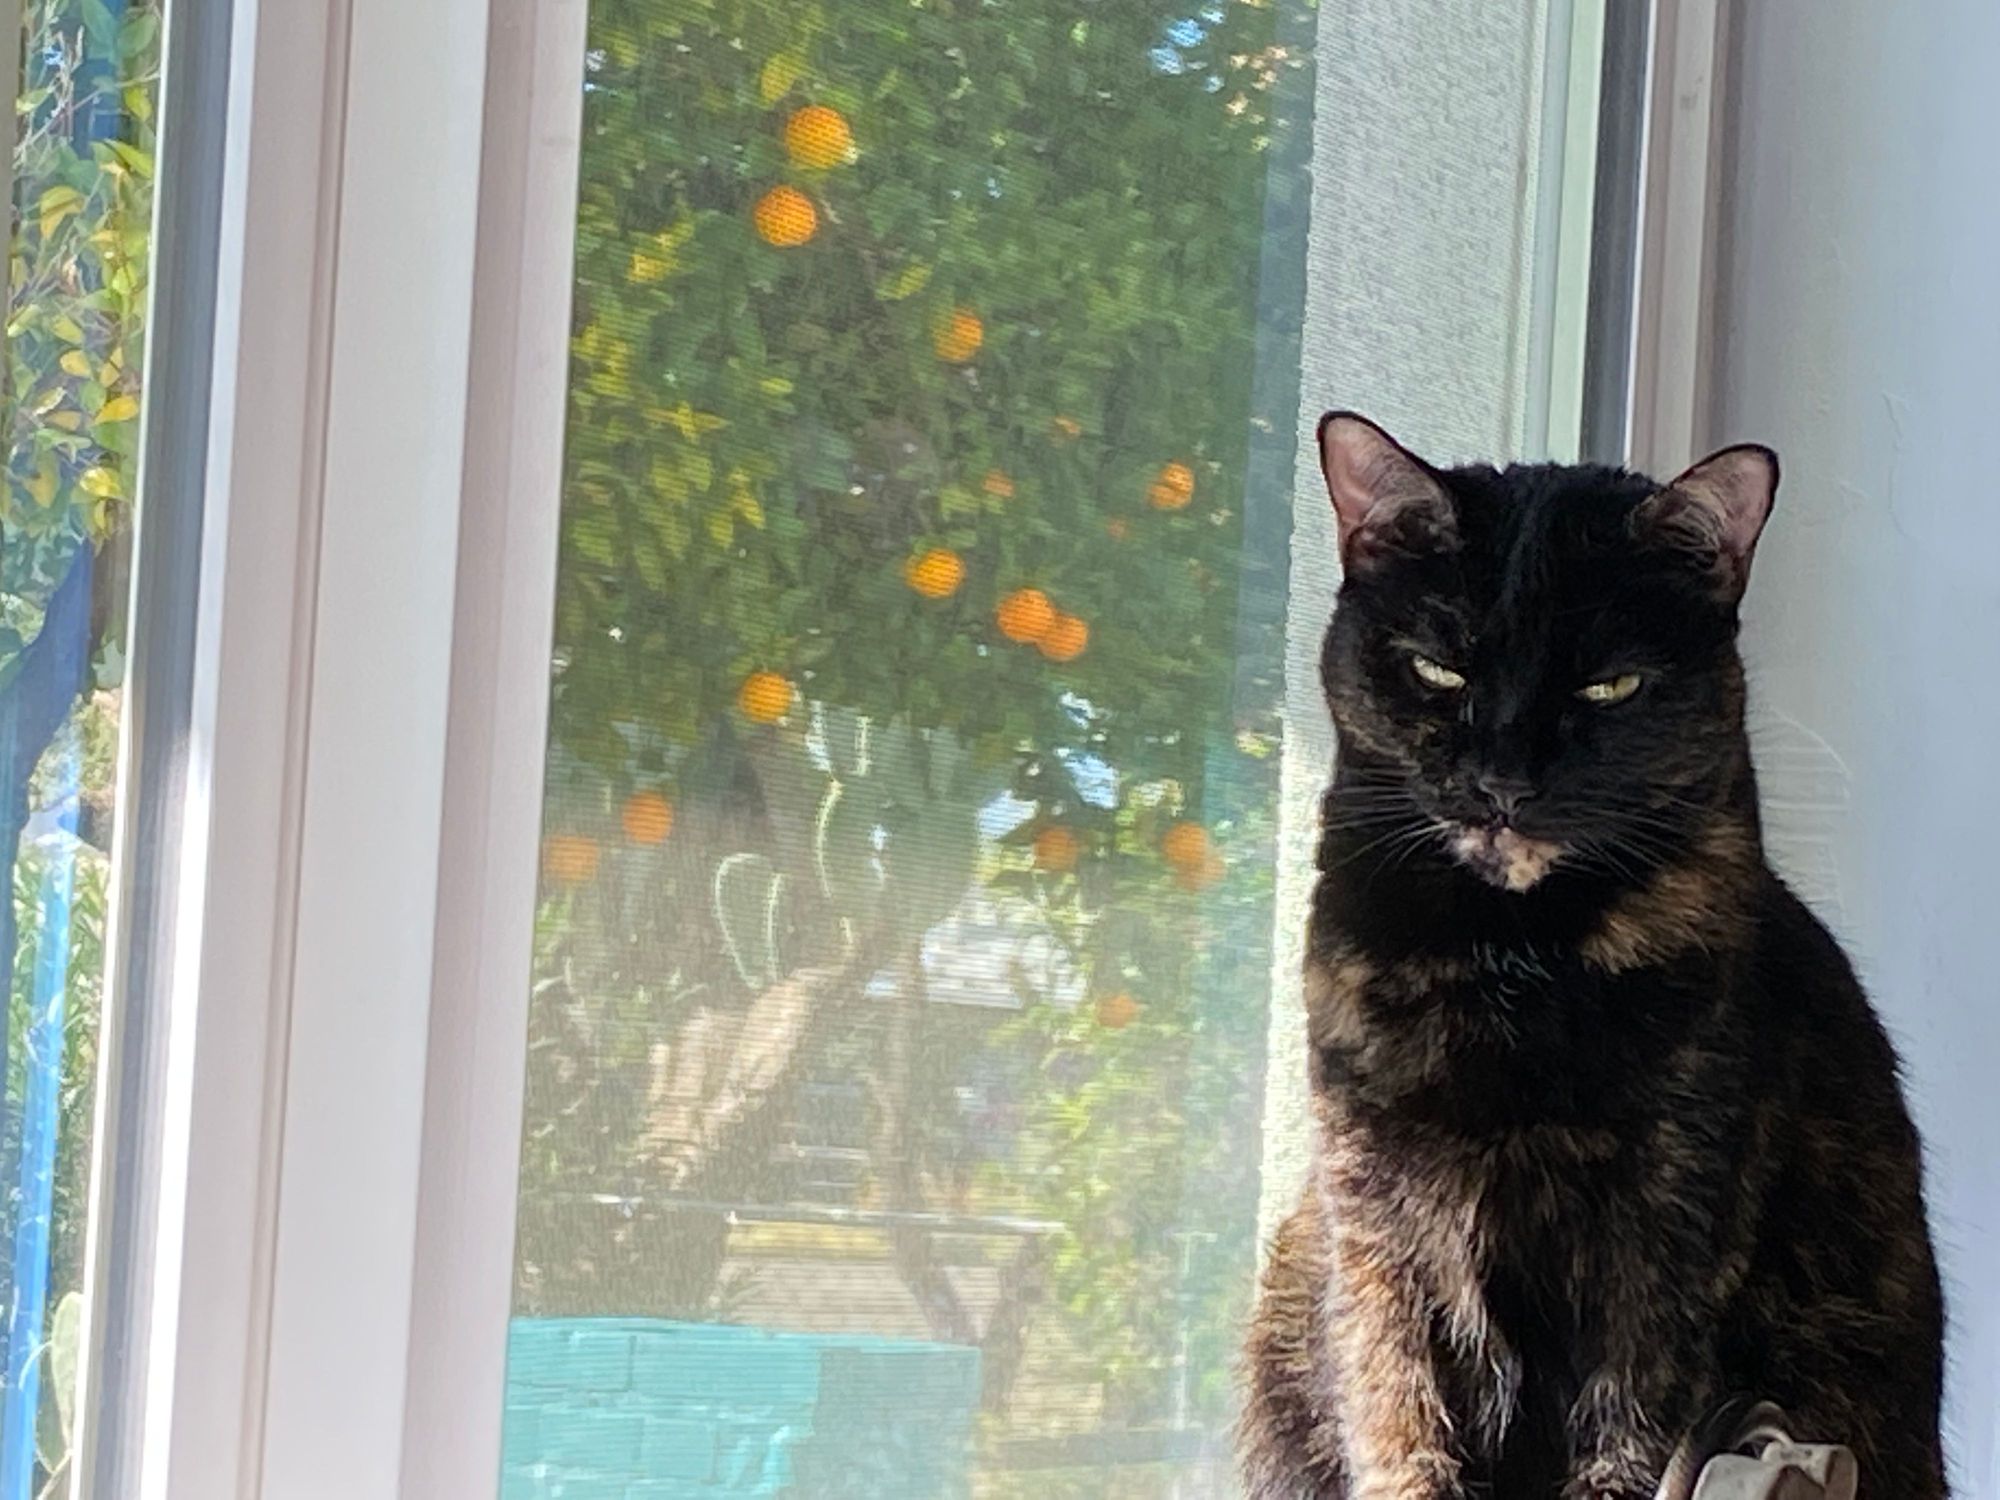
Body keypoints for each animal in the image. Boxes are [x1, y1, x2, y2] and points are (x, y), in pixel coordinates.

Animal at [1239, 414, 1945, 1500]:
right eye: (1439, 671)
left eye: (1607, 686)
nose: (1501, 784)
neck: (1506, 958)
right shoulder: (1375, 1225)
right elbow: (1396, 1410)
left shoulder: (1671, 1226)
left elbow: (1629, 1426)